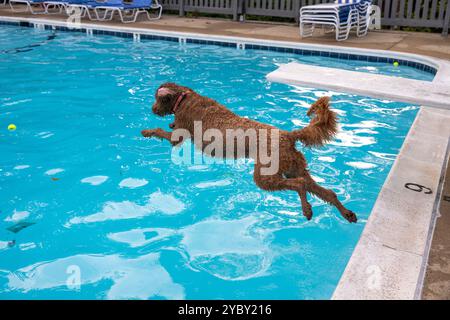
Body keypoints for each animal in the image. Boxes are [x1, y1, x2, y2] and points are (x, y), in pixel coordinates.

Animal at [142, 82, 356, 222]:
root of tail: (289, 135)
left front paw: (146, 131)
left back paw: (307, 209)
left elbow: (160, 131)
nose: (152, 109)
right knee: (327, 192)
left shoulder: (178, 133)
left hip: (266, 175)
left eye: (156, 98)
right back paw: (347, 214)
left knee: (299, 185)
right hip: (294, 167)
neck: (183, 98)